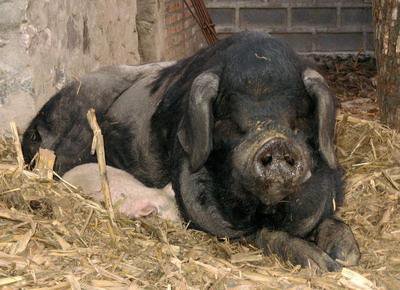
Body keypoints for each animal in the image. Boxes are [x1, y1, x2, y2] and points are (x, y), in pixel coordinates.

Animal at [21, 32, 360, 272]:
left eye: (298, 119)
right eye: (230, 121)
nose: (276, 142)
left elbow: (329, 219)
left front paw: (346, 255)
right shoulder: (196, 201)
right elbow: (258, 234)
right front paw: (323, 265)